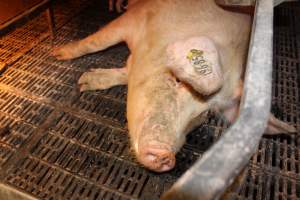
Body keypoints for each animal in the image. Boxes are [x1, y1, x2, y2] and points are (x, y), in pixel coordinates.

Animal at [52, 0, 296, 172]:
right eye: (178, 81)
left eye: (205, 114)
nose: (165, 155)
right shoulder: (135, 17)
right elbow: (97, 41)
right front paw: (60, 56)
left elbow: (125, 73)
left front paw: (84, 81)